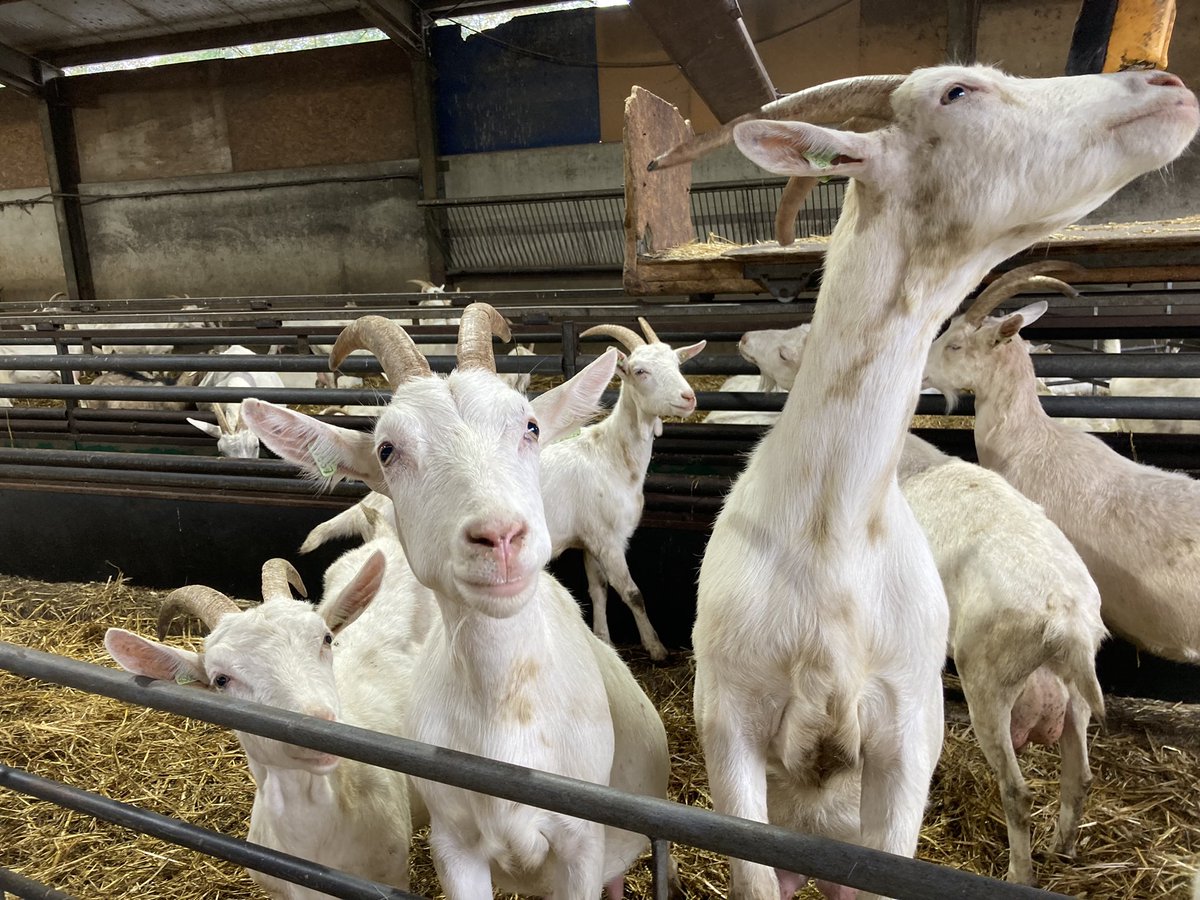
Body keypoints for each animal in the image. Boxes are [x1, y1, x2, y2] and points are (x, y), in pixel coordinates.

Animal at [242, 305, 677, 898]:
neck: (508, 710)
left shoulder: (581, 844)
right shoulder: (454, 844)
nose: (500, 537)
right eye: (387, 450)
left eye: (530, 426)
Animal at [541, 318, 704, 660]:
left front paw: (604, 640)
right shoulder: (608, 540)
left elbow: (598, 590)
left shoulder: (589, 539)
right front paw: (656, 648)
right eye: (640, 371)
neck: (609, 455)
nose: (688, 398)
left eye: (677, 363)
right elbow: (632, 593)